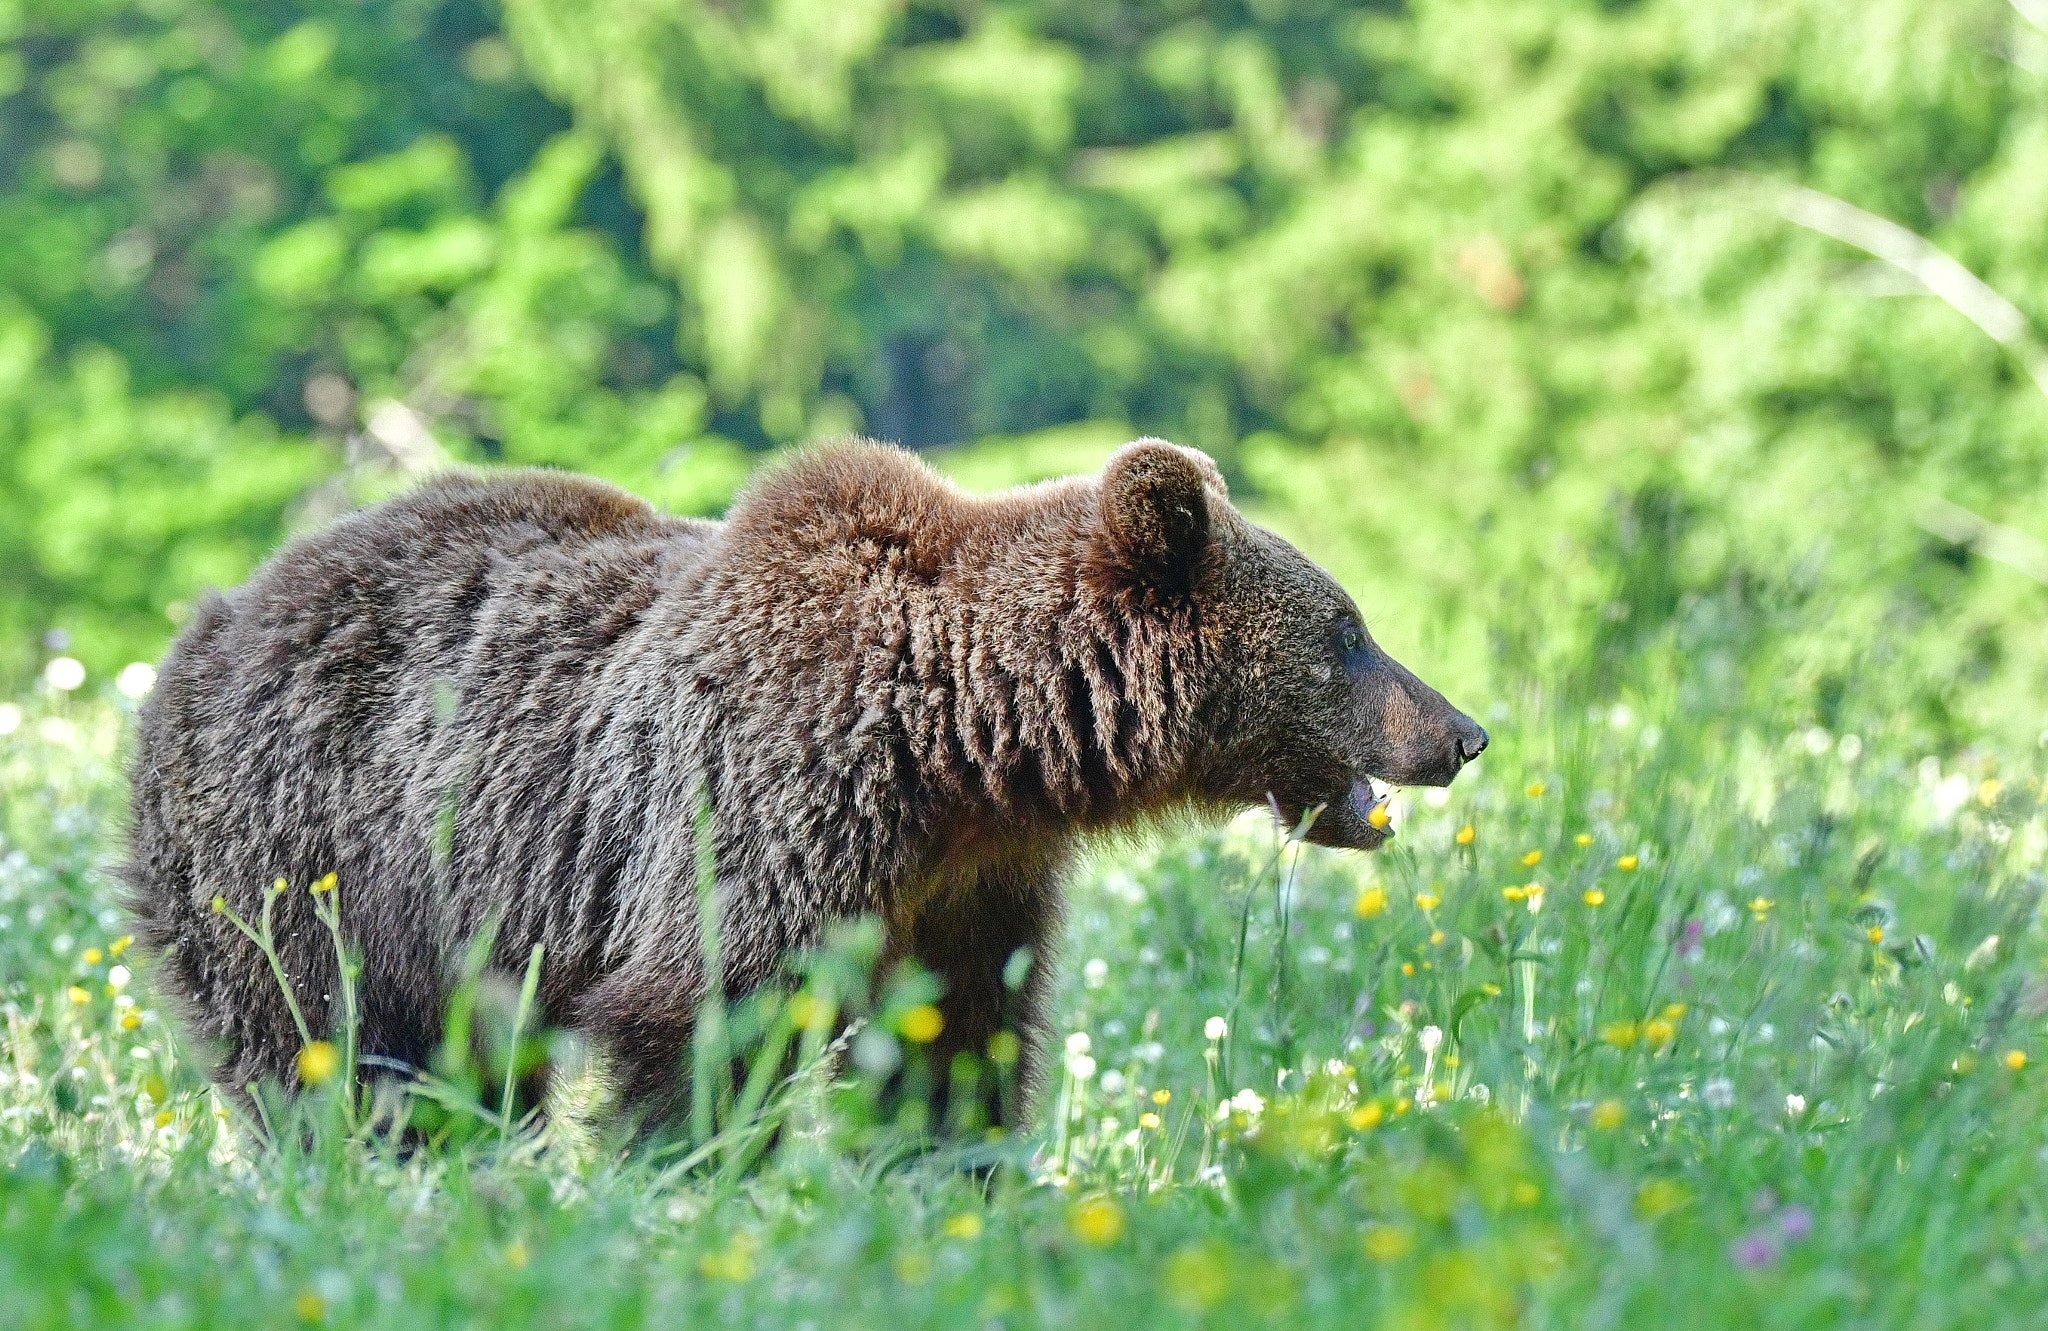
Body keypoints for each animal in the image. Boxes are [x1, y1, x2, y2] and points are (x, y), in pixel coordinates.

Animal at [119, 440, 1482, 1122]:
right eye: (1348, 630)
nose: (1462, 730)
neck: (961, 736)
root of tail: (206, 620)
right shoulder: (766, 798)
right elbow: (699, 1014)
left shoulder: (967, 877)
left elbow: (959, 1039)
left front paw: (952, 1176)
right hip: (308, 855)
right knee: (334, 1054)